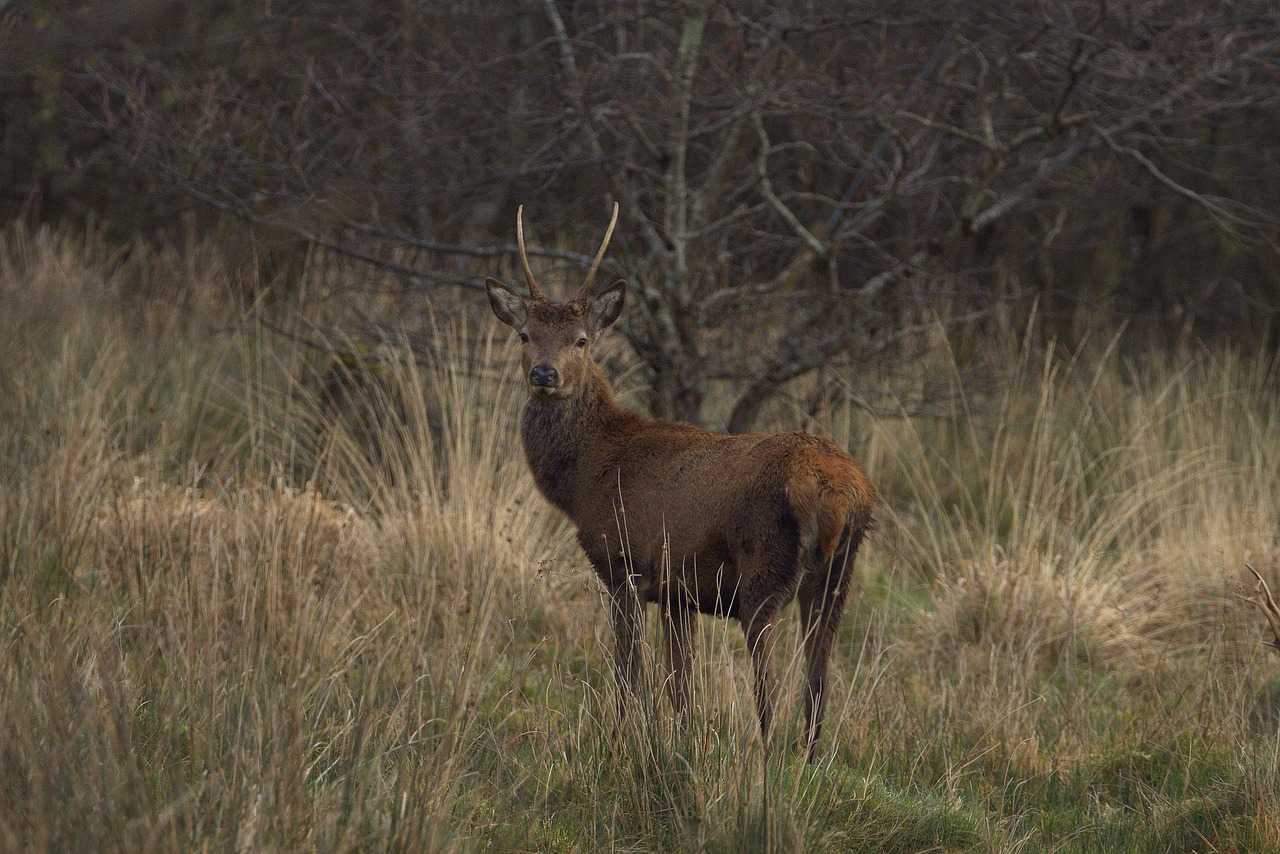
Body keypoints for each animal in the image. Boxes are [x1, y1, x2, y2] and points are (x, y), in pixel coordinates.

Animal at [483, 203, 875, 757]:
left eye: (581, 340)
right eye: (524, 335)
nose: (544, 374)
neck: (585, 476)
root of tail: (841, 493)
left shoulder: (624, 563)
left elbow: (630, 674)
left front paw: (621, 742)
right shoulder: (677, 591)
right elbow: (680, 688)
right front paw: (680, 746)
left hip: (764, 571)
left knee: (771, 687)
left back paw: (766, 757)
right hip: (839, 577)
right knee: (819, 682)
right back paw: (810, 759)